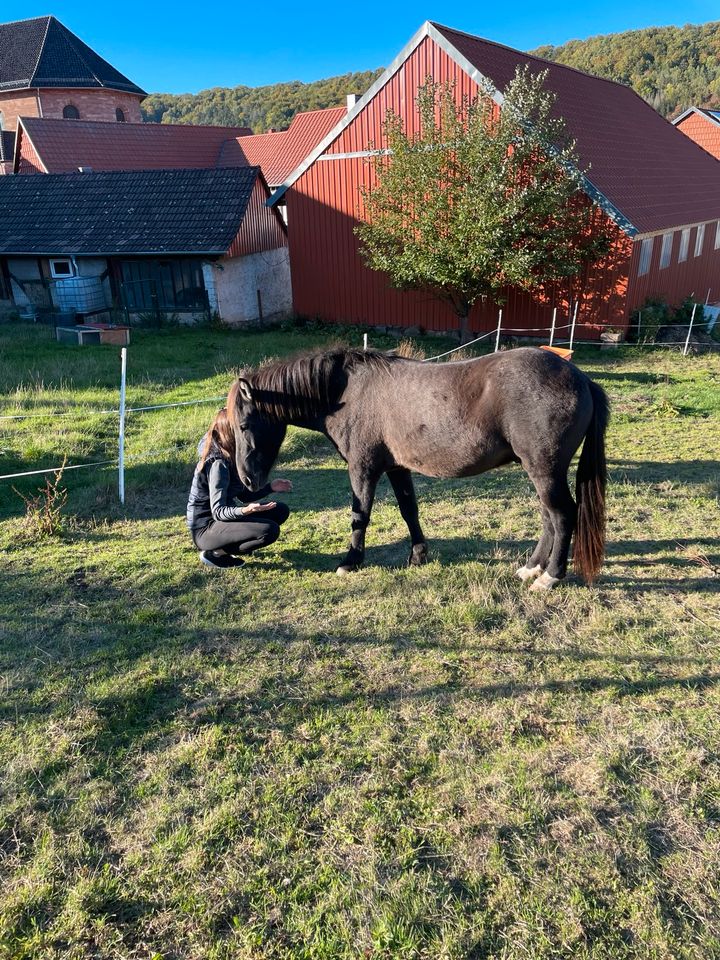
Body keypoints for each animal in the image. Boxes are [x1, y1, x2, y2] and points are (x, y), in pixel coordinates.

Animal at [229, 344, 608, 584]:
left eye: (244, 425)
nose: (246, 481)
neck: (347, 392)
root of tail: (580, 377)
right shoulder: (397, 468)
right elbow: (409, 510)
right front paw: (419, 555)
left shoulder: (363, 468)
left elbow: (359, 516)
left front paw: (350, 561)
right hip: (539, 471)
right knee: (549, 517)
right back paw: (531, 568)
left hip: (544, 470)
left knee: (562, 515)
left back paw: (550, 577)